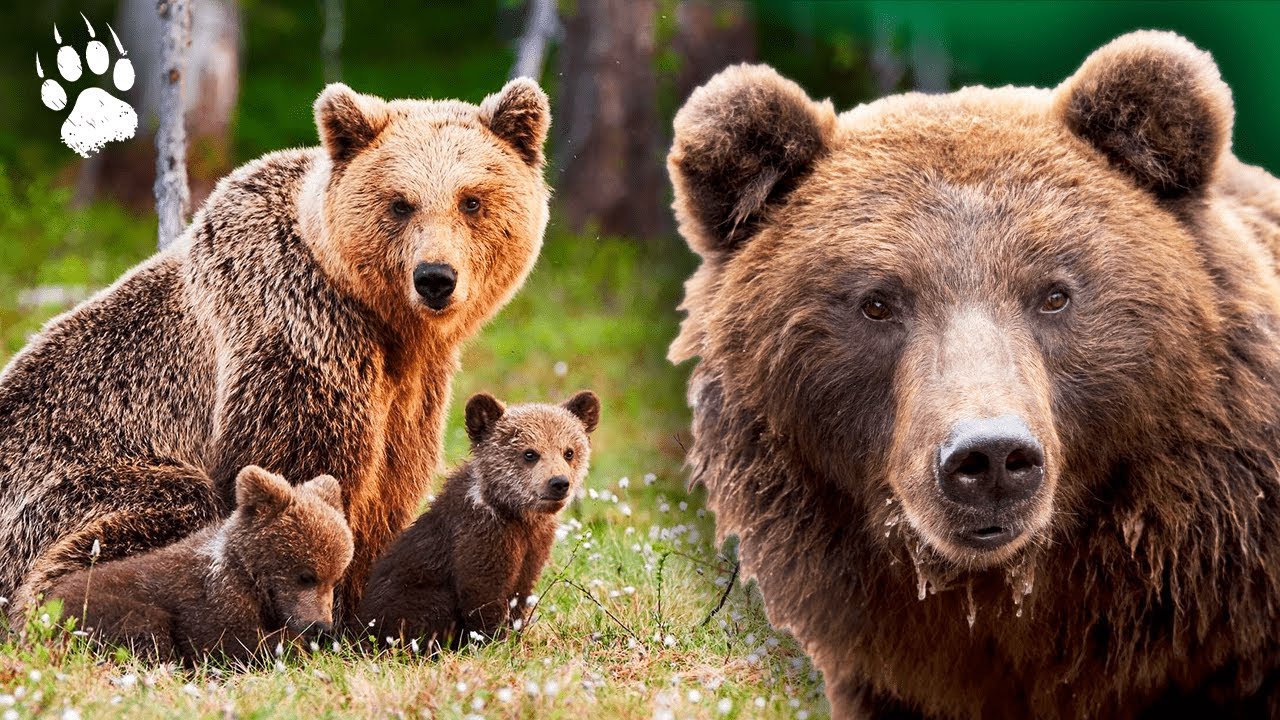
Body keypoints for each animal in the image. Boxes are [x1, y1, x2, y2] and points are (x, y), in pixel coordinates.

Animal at [0, 77, 550, 617]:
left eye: (471, 200)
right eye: (400, 202)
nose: (435, 278)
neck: (384, 323)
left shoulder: (412, 389)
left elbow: (391, 486)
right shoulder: (297, 336)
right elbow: (300, 474)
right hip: (68, 488)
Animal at [44, 466, 353, 661]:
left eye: (335, 578)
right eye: (306, 575)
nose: (321, 625)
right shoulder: (210, 600)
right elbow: (226, 642)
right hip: (95, 609)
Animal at [358, 389, 601, 648]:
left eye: (569, 452)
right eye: (530, 453)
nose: (559, 483)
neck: (515, 514)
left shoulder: (534, 547)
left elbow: (520, 593)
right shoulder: (481, 537)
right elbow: (483, 595)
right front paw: (493, 641)